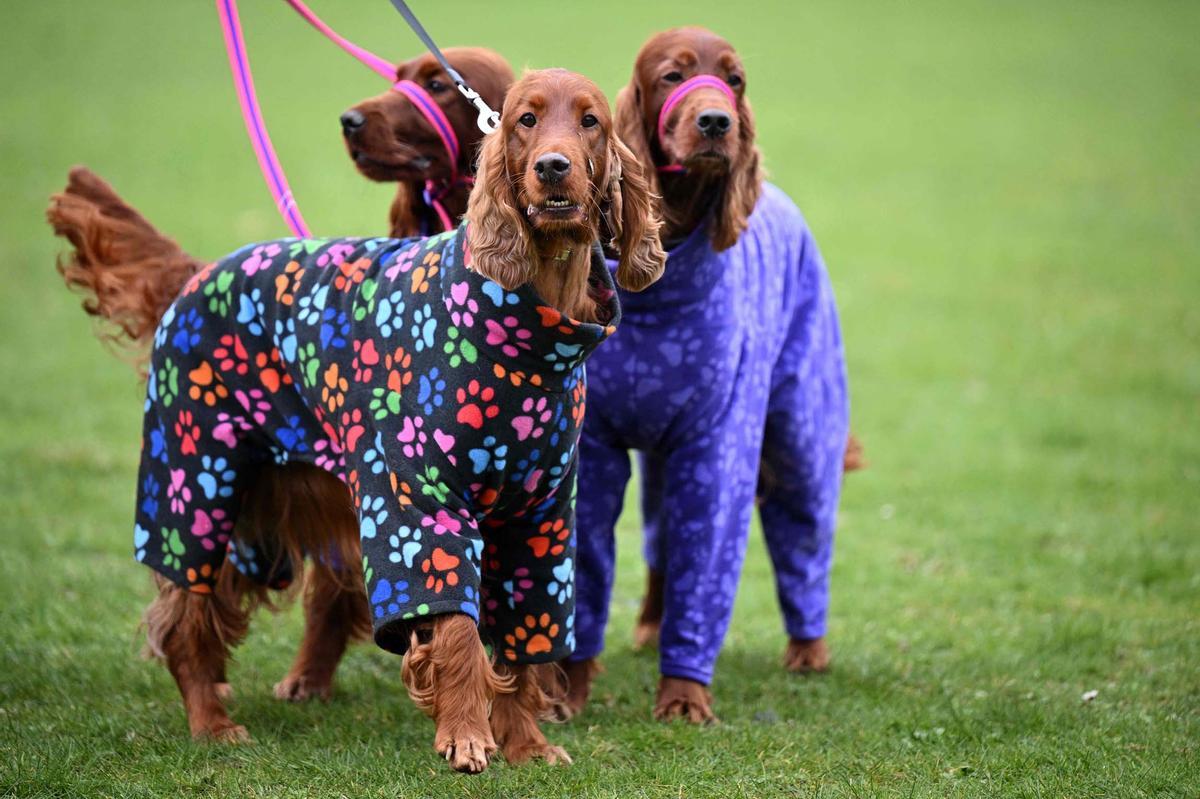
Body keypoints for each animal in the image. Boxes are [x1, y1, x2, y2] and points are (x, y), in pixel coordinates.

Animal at [49, 69, 667, 772]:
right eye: (525, 121)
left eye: (590, 121)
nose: (553, 167)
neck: (523, 320)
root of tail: (196, 272)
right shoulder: (418, 504)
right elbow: (457, 631)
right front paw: (465, 735)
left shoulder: (540, 520)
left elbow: (522, 643)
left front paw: (526, 743)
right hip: (193, 491)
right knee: (185, 620)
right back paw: (211, 723)